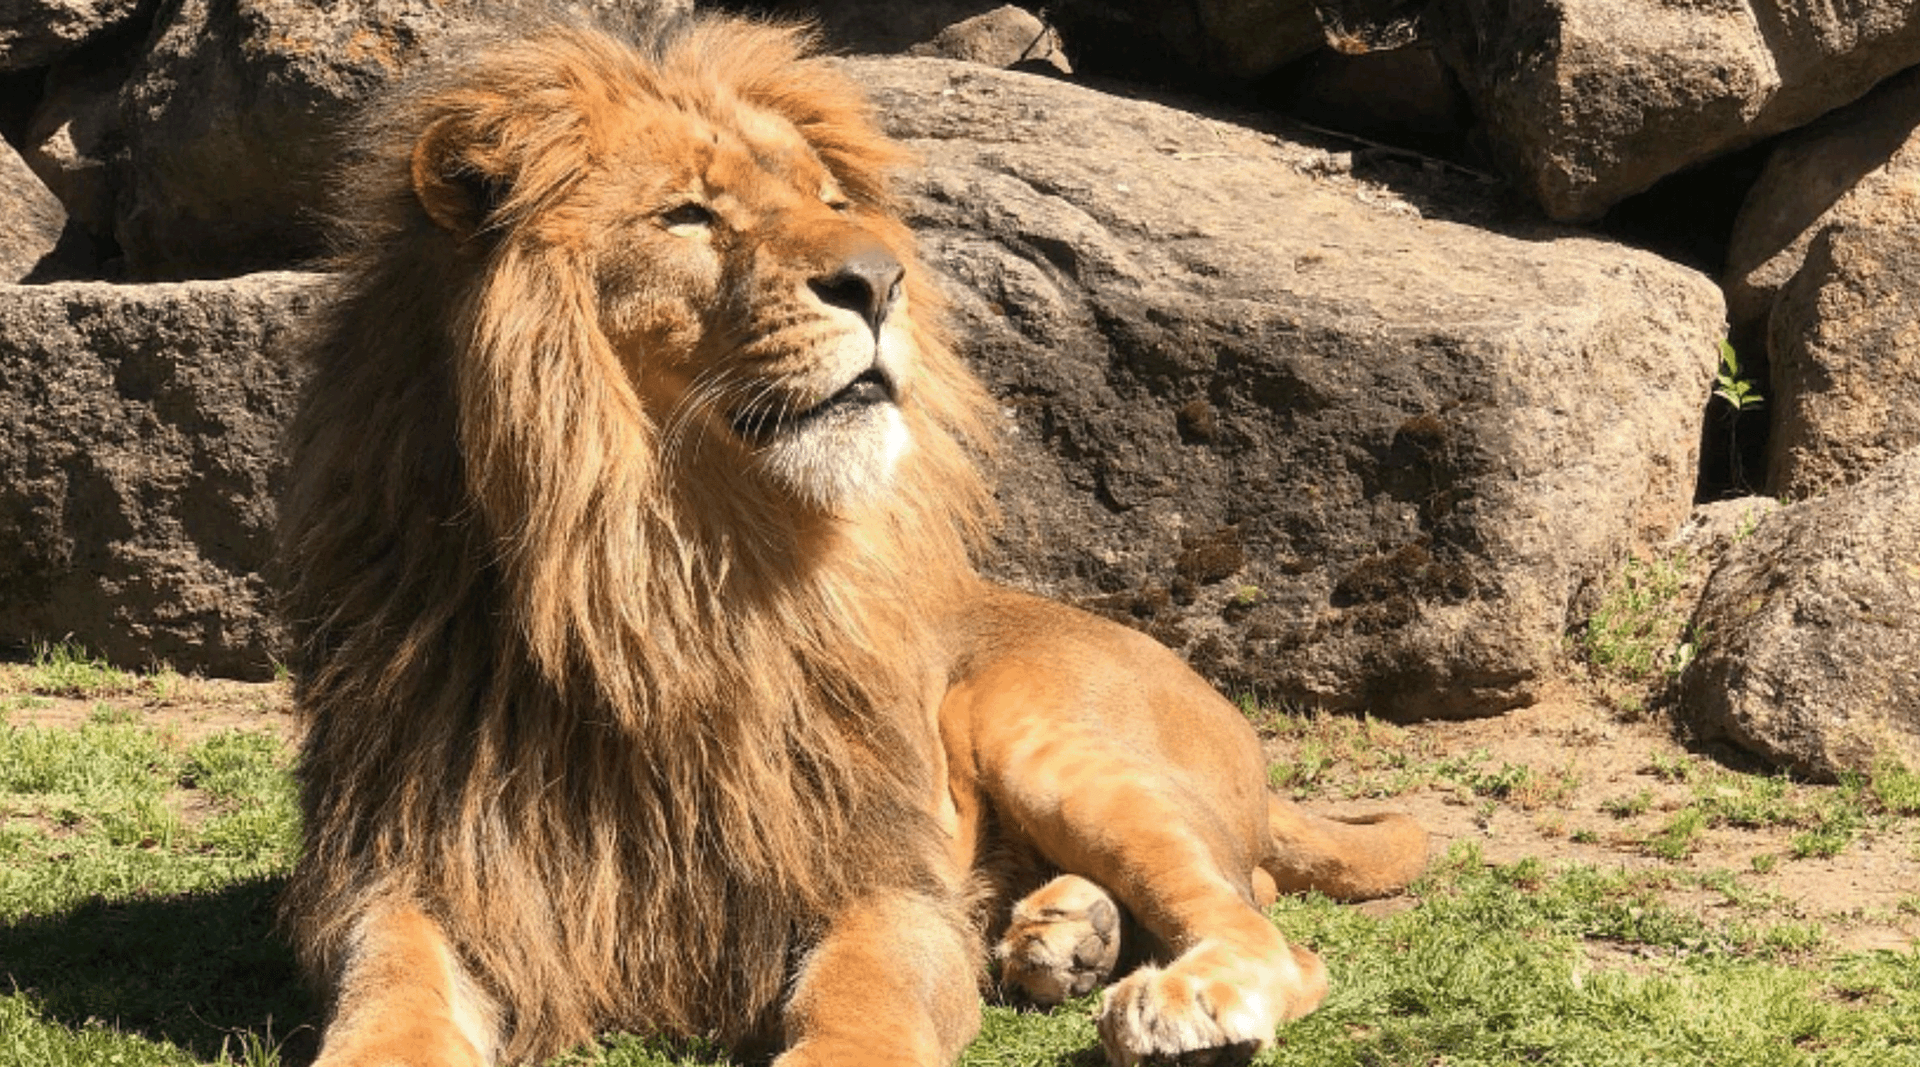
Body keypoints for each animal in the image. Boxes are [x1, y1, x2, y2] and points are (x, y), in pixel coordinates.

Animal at [277, 15, 1429, 1067]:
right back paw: (1070, 932)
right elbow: (389, 991)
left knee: (1266, 922)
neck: (659, 578)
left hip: (1043, 732)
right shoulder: (421, 869)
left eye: (830, 205)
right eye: (687, 213)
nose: (880, 280)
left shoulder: (876, 868)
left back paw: (1174, 992)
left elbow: (864, 991)